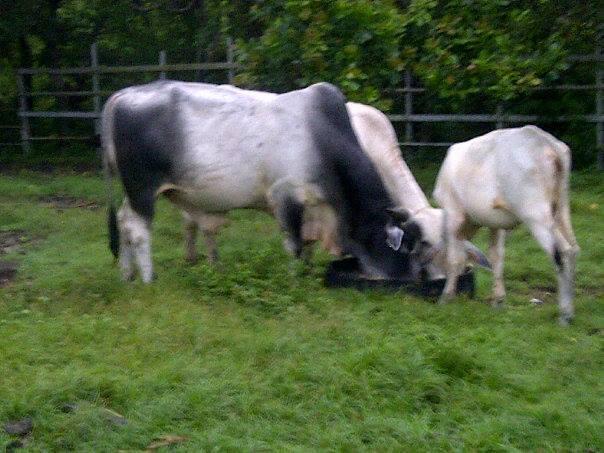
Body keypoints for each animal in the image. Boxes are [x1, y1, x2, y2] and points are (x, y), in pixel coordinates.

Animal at [102, 79, 416, 280]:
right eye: (403, 247)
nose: (409, 278)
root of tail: (121, 96)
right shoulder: (286, 197)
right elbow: (295, 245)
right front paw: (296, 279)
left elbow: (307, 245)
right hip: (143, 190)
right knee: (137, 229)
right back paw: (147, 278)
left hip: (134, 193)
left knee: (123, 221)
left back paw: (127, 275)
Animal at [432, 125, 580, 324]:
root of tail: (545, 141)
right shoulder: (495, 222)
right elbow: (496, 257)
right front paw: (498, 301)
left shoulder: (452, 213)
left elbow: (455, 258)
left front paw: (446, 297)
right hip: (561, 209)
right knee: (574, 248)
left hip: (536, 214)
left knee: (563, 252)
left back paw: (565, 314)